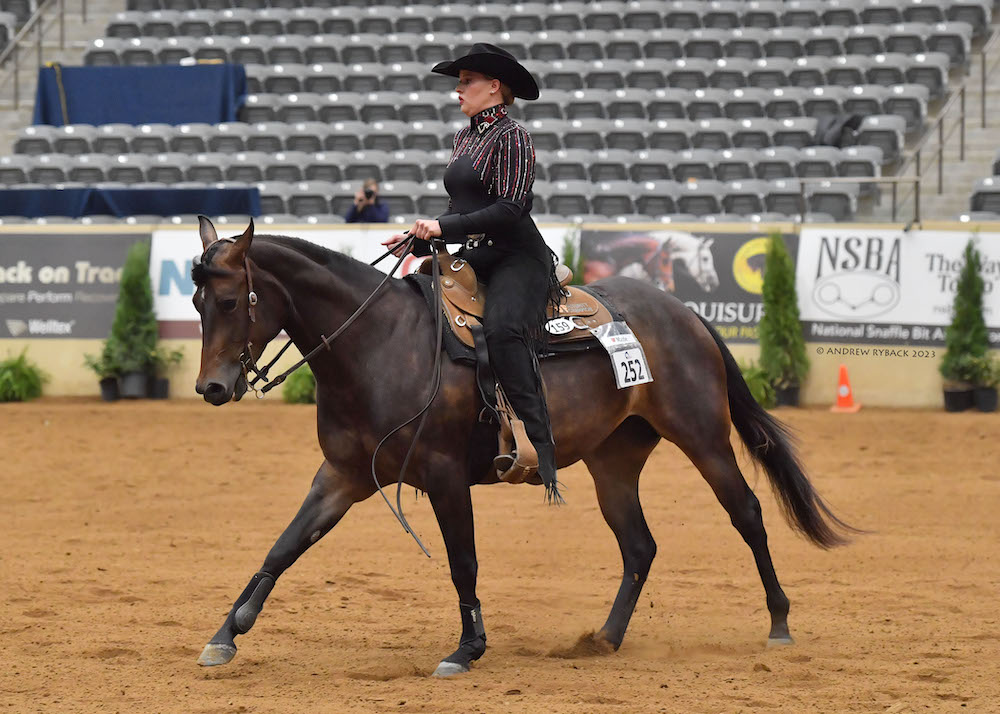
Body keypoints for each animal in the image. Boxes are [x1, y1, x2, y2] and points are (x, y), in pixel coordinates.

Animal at [193, 216, 852, 672]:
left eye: (229, 300)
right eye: (198, 303)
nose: (211, 387)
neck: (382, 342)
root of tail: (683, 312)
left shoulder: (443, 475)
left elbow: (463, 563)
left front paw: (467, 649)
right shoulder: (342, 474)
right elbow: (284, 547)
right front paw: (226, 634)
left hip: (703, 437)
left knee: (748, 513)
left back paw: (780, 623)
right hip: (614, 461)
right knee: (639, 546)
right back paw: (605, 638)